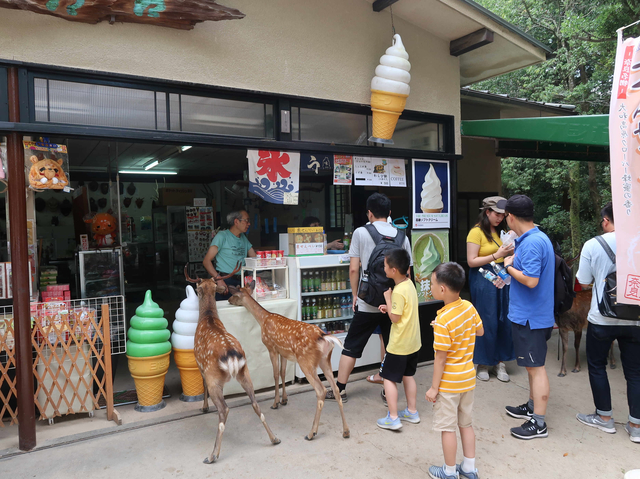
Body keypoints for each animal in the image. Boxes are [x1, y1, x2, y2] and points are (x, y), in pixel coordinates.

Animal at [182, 266, 278, 464]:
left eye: (198, 287)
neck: (208, 318)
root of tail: (233, 356)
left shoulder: (200, 364)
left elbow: (202, 385)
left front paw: (204, 407)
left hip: (214, 377)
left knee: (224, 409)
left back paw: (212, 455)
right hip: (245, 372)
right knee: (256, 404)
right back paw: (274, 438)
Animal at [229, 282, 350, 442]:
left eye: (234, 294)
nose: (228, 300)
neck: (263, 319)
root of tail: (324, 337)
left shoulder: (271, 348)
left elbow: (275, 374)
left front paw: (275, 403)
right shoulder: (284, 352)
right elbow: (283, 373)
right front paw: (284, 400)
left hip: (306, 362)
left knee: (321, 390)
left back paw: (311, 433)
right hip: (325, 361)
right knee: (335, 389)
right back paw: (346, 431)